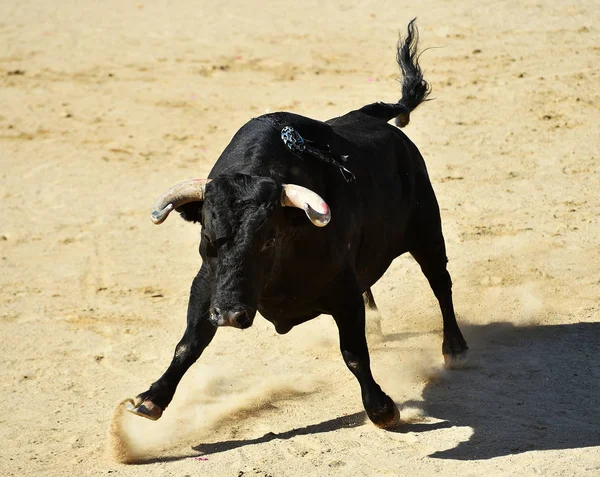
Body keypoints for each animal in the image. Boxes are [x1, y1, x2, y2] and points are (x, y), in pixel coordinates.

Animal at [127, 19, 468, 428]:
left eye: (269, 240)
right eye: (207, 237)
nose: (228, 315)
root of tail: (373, 117)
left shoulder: (341, 289)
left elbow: (354, 352)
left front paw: (382, 408)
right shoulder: (207, 282)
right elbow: (188, 343)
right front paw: (151, 398)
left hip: (427, 231)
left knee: (441, 283)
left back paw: (455, 348)